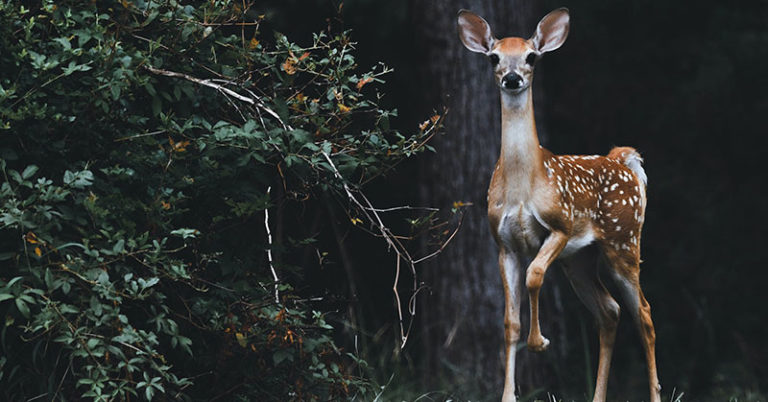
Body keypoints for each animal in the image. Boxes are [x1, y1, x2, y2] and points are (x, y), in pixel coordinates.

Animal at [457, 8, 661, 402]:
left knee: (643, 313)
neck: (523, 186)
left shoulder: (561, 225)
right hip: (579, 260)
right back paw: (597, 396)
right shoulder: (503, 243)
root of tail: (623, 160)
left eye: (531, 57)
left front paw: (540, 342)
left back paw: (656, 394)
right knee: (609, 311)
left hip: (624, 241)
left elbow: (535, 275)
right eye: (494, 58)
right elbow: (510, 321)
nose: (512, 78)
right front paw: (508, 395)